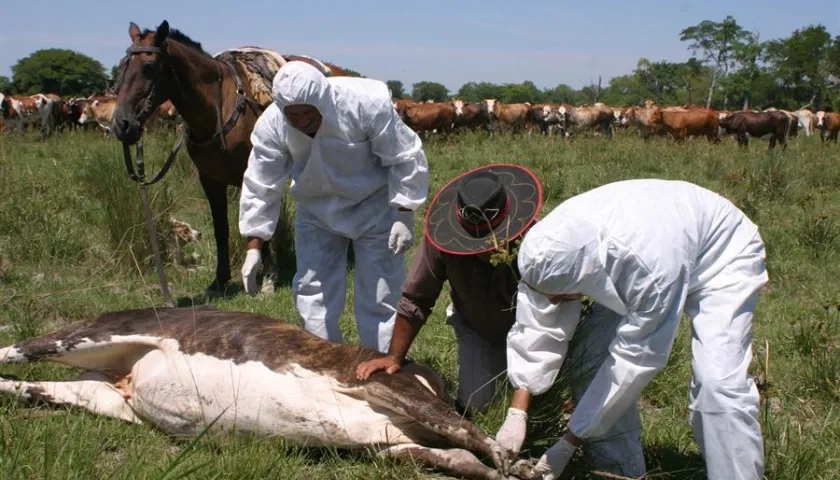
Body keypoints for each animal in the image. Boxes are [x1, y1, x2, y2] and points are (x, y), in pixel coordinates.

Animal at [110, 21, 352, 296]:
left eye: (150, 66)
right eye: (123, 64)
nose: (122, 124)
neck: (220, 109)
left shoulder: (255, 175)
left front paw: (267, 279)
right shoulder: (210, 181)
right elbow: (221, 229)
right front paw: (220, 280)